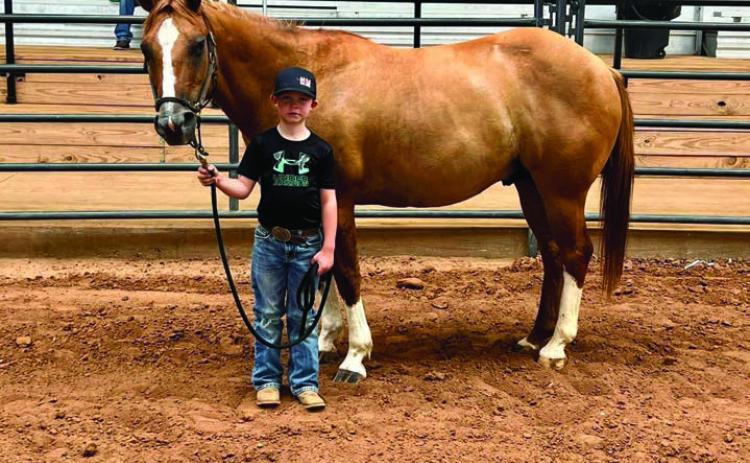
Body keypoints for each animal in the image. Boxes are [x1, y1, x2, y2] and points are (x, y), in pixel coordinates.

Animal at [138, 0, 634, 381]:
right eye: (145, 47)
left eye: (197, 44)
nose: (172, 124)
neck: (315, 79)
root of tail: (601, 68)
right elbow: (324, 266)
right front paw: (324, 340)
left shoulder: (341, 198)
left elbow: (346, 271)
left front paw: (355, 356)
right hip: (531, 187)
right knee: (552, 254)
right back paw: (533, 338)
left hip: (562, 190)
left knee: (575, 254)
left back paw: (556, 346)